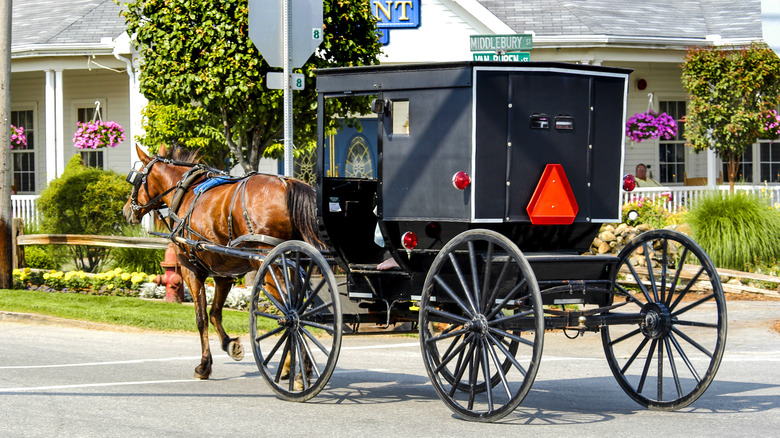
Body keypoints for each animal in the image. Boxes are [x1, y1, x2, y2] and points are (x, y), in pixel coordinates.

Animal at [122, 145, 322, 380]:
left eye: (135, 179)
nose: (126, 210)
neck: (185, 191)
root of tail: (288, 183)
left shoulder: (191, 270)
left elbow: (201, 318)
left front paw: (204, 365)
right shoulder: (224, 274)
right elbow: (215, 313)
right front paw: (230, 345)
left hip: (268, 263)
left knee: (292, 308)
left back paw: (303, 370)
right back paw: (293, 366)